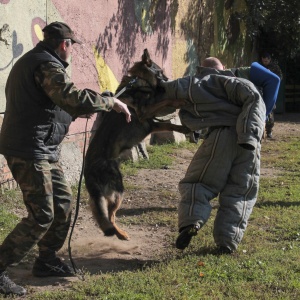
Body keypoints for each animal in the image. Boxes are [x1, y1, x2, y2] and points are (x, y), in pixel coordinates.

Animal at [83, 49, 189, 241]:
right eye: (160, 72)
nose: (169, 80)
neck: (138, 82)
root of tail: (88, 170)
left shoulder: (152, 123)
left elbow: (170, 124)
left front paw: (183, 128)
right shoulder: (145, 112)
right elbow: (165, 102)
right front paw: (179, 101)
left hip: (108, 194)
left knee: (104, 216)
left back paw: (118, 233)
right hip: (118, 190)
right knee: (110, 216)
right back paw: (121, 234)